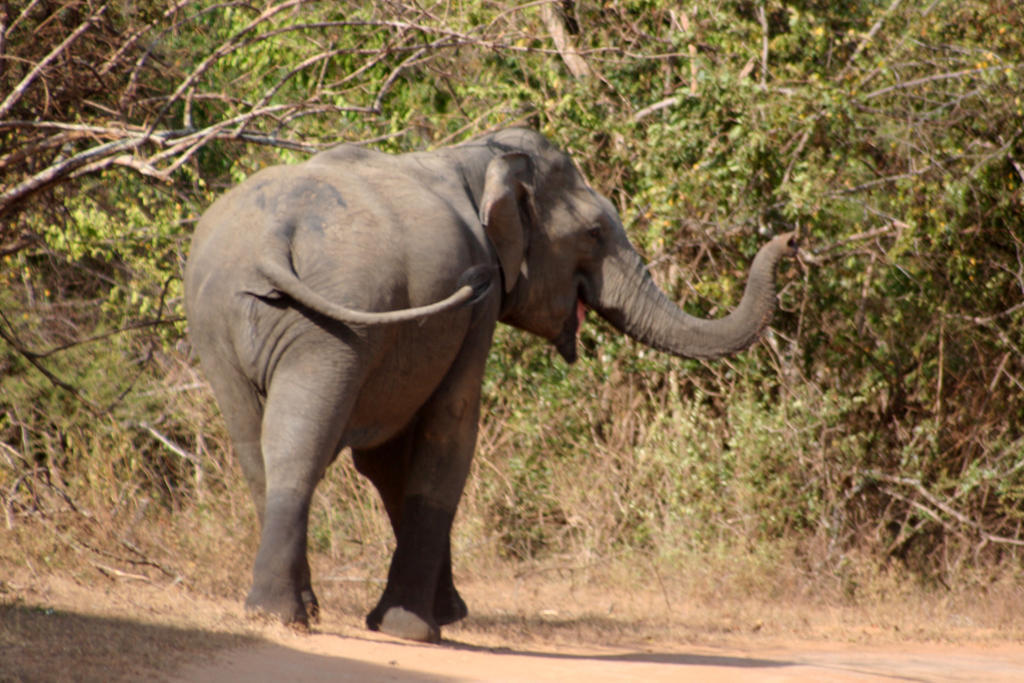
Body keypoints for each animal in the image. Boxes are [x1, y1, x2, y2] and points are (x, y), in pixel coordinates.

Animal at [184, 127, 794, 647]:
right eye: (594, 233)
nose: (789, 238)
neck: (475, 157)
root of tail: (273, 238)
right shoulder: (476, 294)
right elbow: (450, 427)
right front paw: (418, 629)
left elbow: (387, 461)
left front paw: (438, 615)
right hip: (332, 323)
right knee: (299, 442)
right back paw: (286, 616)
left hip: (224, 323)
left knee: (258, 445)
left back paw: (283, 612)